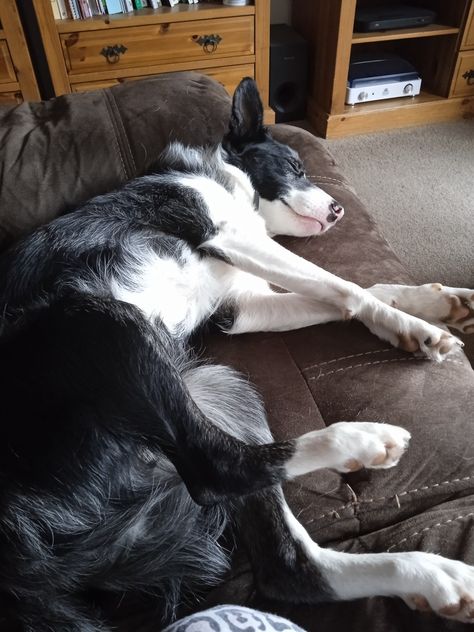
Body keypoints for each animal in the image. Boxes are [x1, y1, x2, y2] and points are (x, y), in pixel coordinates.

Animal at [0, 76, 474, 628]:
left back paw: (430, 576)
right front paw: (415, 327)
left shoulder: (242, 306)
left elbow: (357, 289)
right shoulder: (227, 235)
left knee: (287, 565)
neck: (227, 181)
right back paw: (360, 441)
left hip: (220, 389)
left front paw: (433, 306)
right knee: (216, 468)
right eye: (294, 167)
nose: (338, 211)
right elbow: (346, 286)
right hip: (106, 322)